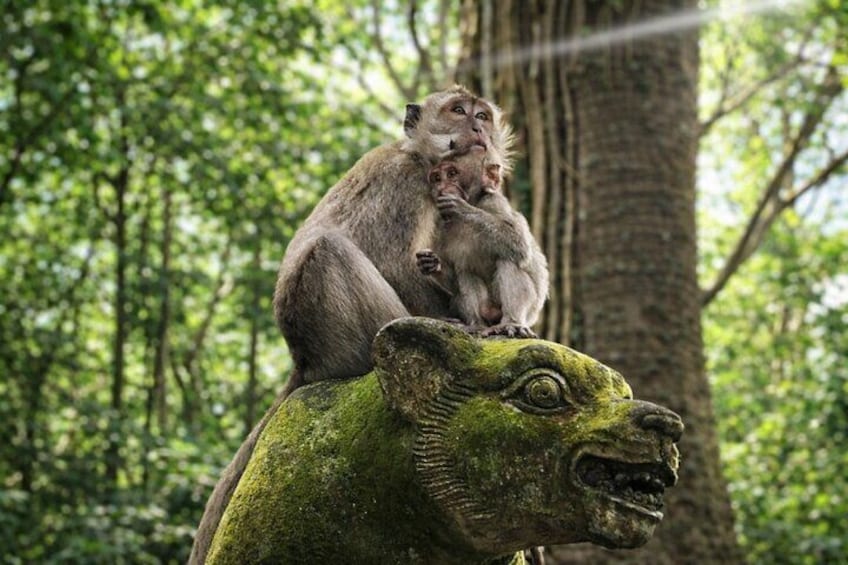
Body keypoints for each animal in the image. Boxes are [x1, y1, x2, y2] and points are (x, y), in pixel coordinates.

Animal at [189, 86, 513, 564]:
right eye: (458, 111)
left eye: (483, 115)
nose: (477, 127)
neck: (422, 159)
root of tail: (304, 361)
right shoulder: (404, 182)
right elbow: (396, 262)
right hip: (345, 333)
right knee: (329, 251)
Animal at [415, 146, 548, 338]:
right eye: (437, 178)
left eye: (452, 173)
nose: (442, 188)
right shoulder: (437, 227)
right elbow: (455, 278)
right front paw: (431, 264)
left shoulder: (494, 202)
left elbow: (519, 244)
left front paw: (462, 208)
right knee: (465, 270)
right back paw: (476, 325)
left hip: (529, 311)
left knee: (509, 259)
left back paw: (512, 323)